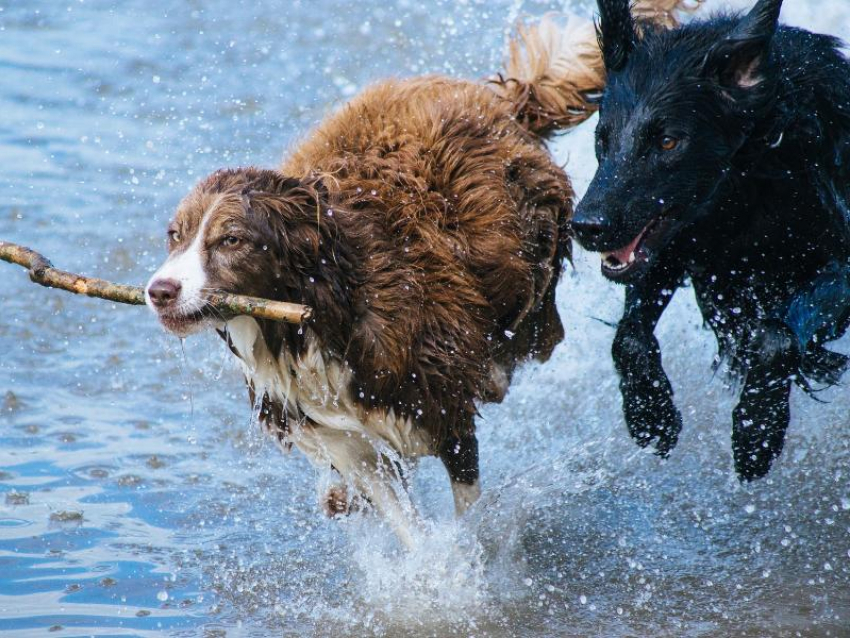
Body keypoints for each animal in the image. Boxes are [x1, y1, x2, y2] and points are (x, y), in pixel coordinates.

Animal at [142, 1, 692, 552]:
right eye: (174, 235)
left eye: (230, 240)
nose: (159, 291)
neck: (314, 314)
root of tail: (502, 100)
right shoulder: (344, 435)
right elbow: (397, 512)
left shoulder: (440, 405)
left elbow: (465, 506)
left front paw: (465, 559)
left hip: (533, 267)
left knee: (531, 328)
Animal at [568, 0, 848, 480]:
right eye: (602, 139)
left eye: (667, 141)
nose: (586, 225)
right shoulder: (676, 245)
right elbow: (628, 338)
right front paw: (651, 416)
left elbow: (775, 338)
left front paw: (757, 431)